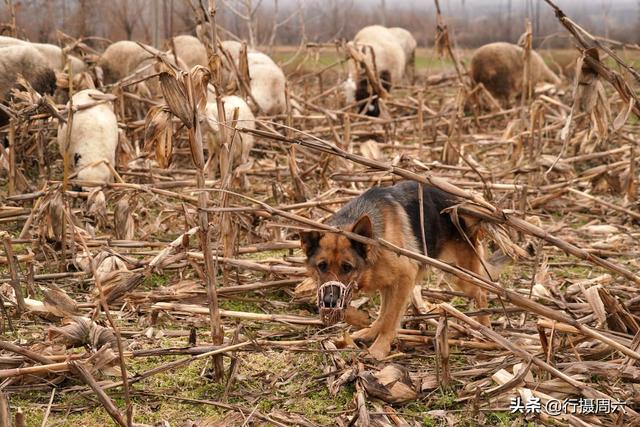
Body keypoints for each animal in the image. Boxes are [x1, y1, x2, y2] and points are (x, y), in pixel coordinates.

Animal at [300, 181, 490, 362]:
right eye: (322, 266)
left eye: (347, 267)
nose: (329, 301)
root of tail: (463, 199)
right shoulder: (384, 284)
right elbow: (380, 313)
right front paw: (362, 321)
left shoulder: (404, 279)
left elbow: (390, 318)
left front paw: (379, 349)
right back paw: (368, 332)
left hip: (459, 276)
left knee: (481, 294)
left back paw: (486, 331)